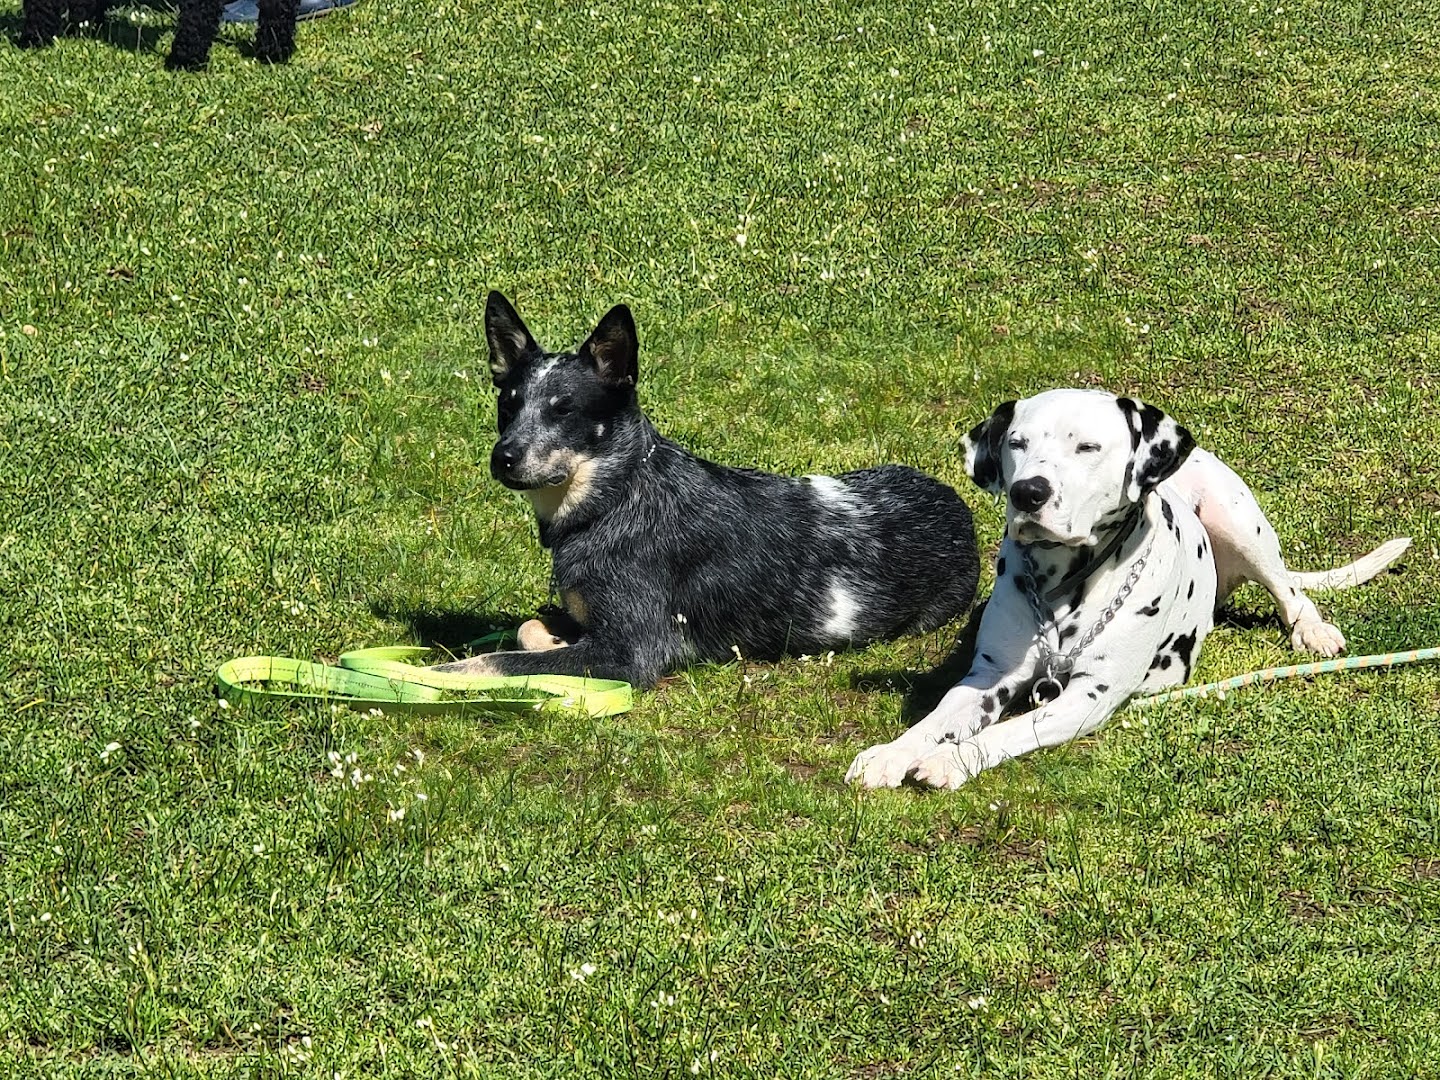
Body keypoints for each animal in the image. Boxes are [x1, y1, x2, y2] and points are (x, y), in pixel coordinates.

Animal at [432, 292, 984, 688]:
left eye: (563, 410)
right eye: (508, 406)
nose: (502, 457)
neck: (618, 496)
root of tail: (954, 502)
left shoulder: (629, 654)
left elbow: (496, 660)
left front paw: (439, 674)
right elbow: (526, 629)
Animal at [840, 385, 1405, 789]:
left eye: (1087, 447)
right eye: (1016, 443)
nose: (1027, 493)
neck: (1062, 589)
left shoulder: (1089, 697)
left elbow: (1010, 728)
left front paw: (951, 761)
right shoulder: (989, 678)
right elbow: (936, 718)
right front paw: (892, 753)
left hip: (1241, 524)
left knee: (1291, 591)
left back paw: (1313, 630)